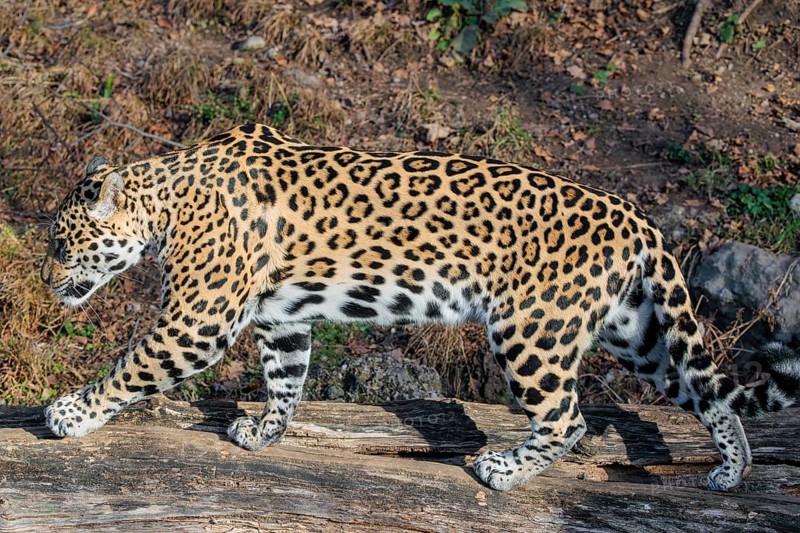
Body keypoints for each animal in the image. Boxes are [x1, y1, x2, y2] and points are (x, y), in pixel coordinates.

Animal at [41, 123, 800, 492]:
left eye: (61, 243)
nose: (47, 281)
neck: (166, 200)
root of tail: (636, 217)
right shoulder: (282, 317)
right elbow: (286, 377)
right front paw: (265, 432)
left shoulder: (196, 320)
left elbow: (132, 365)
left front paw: (70, 413)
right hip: (633, 329)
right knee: (704, 390)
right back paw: (733, 470)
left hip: (531, 330)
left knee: (570, 417)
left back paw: (504, 470)